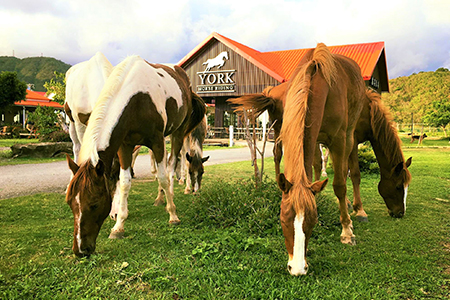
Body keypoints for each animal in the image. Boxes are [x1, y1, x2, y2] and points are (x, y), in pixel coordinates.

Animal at [65, 56, 206, 258]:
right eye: (70, 203)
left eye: (94, 204)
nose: (80, 250)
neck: (137, 99)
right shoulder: (124, 145)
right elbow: (125, 182)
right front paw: (118, 226)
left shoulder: (157, 141)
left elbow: (163, 176)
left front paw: (173, 215)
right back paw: (160, 199)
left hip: (178, 132)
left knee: (172, 165)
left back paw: (170, 197)